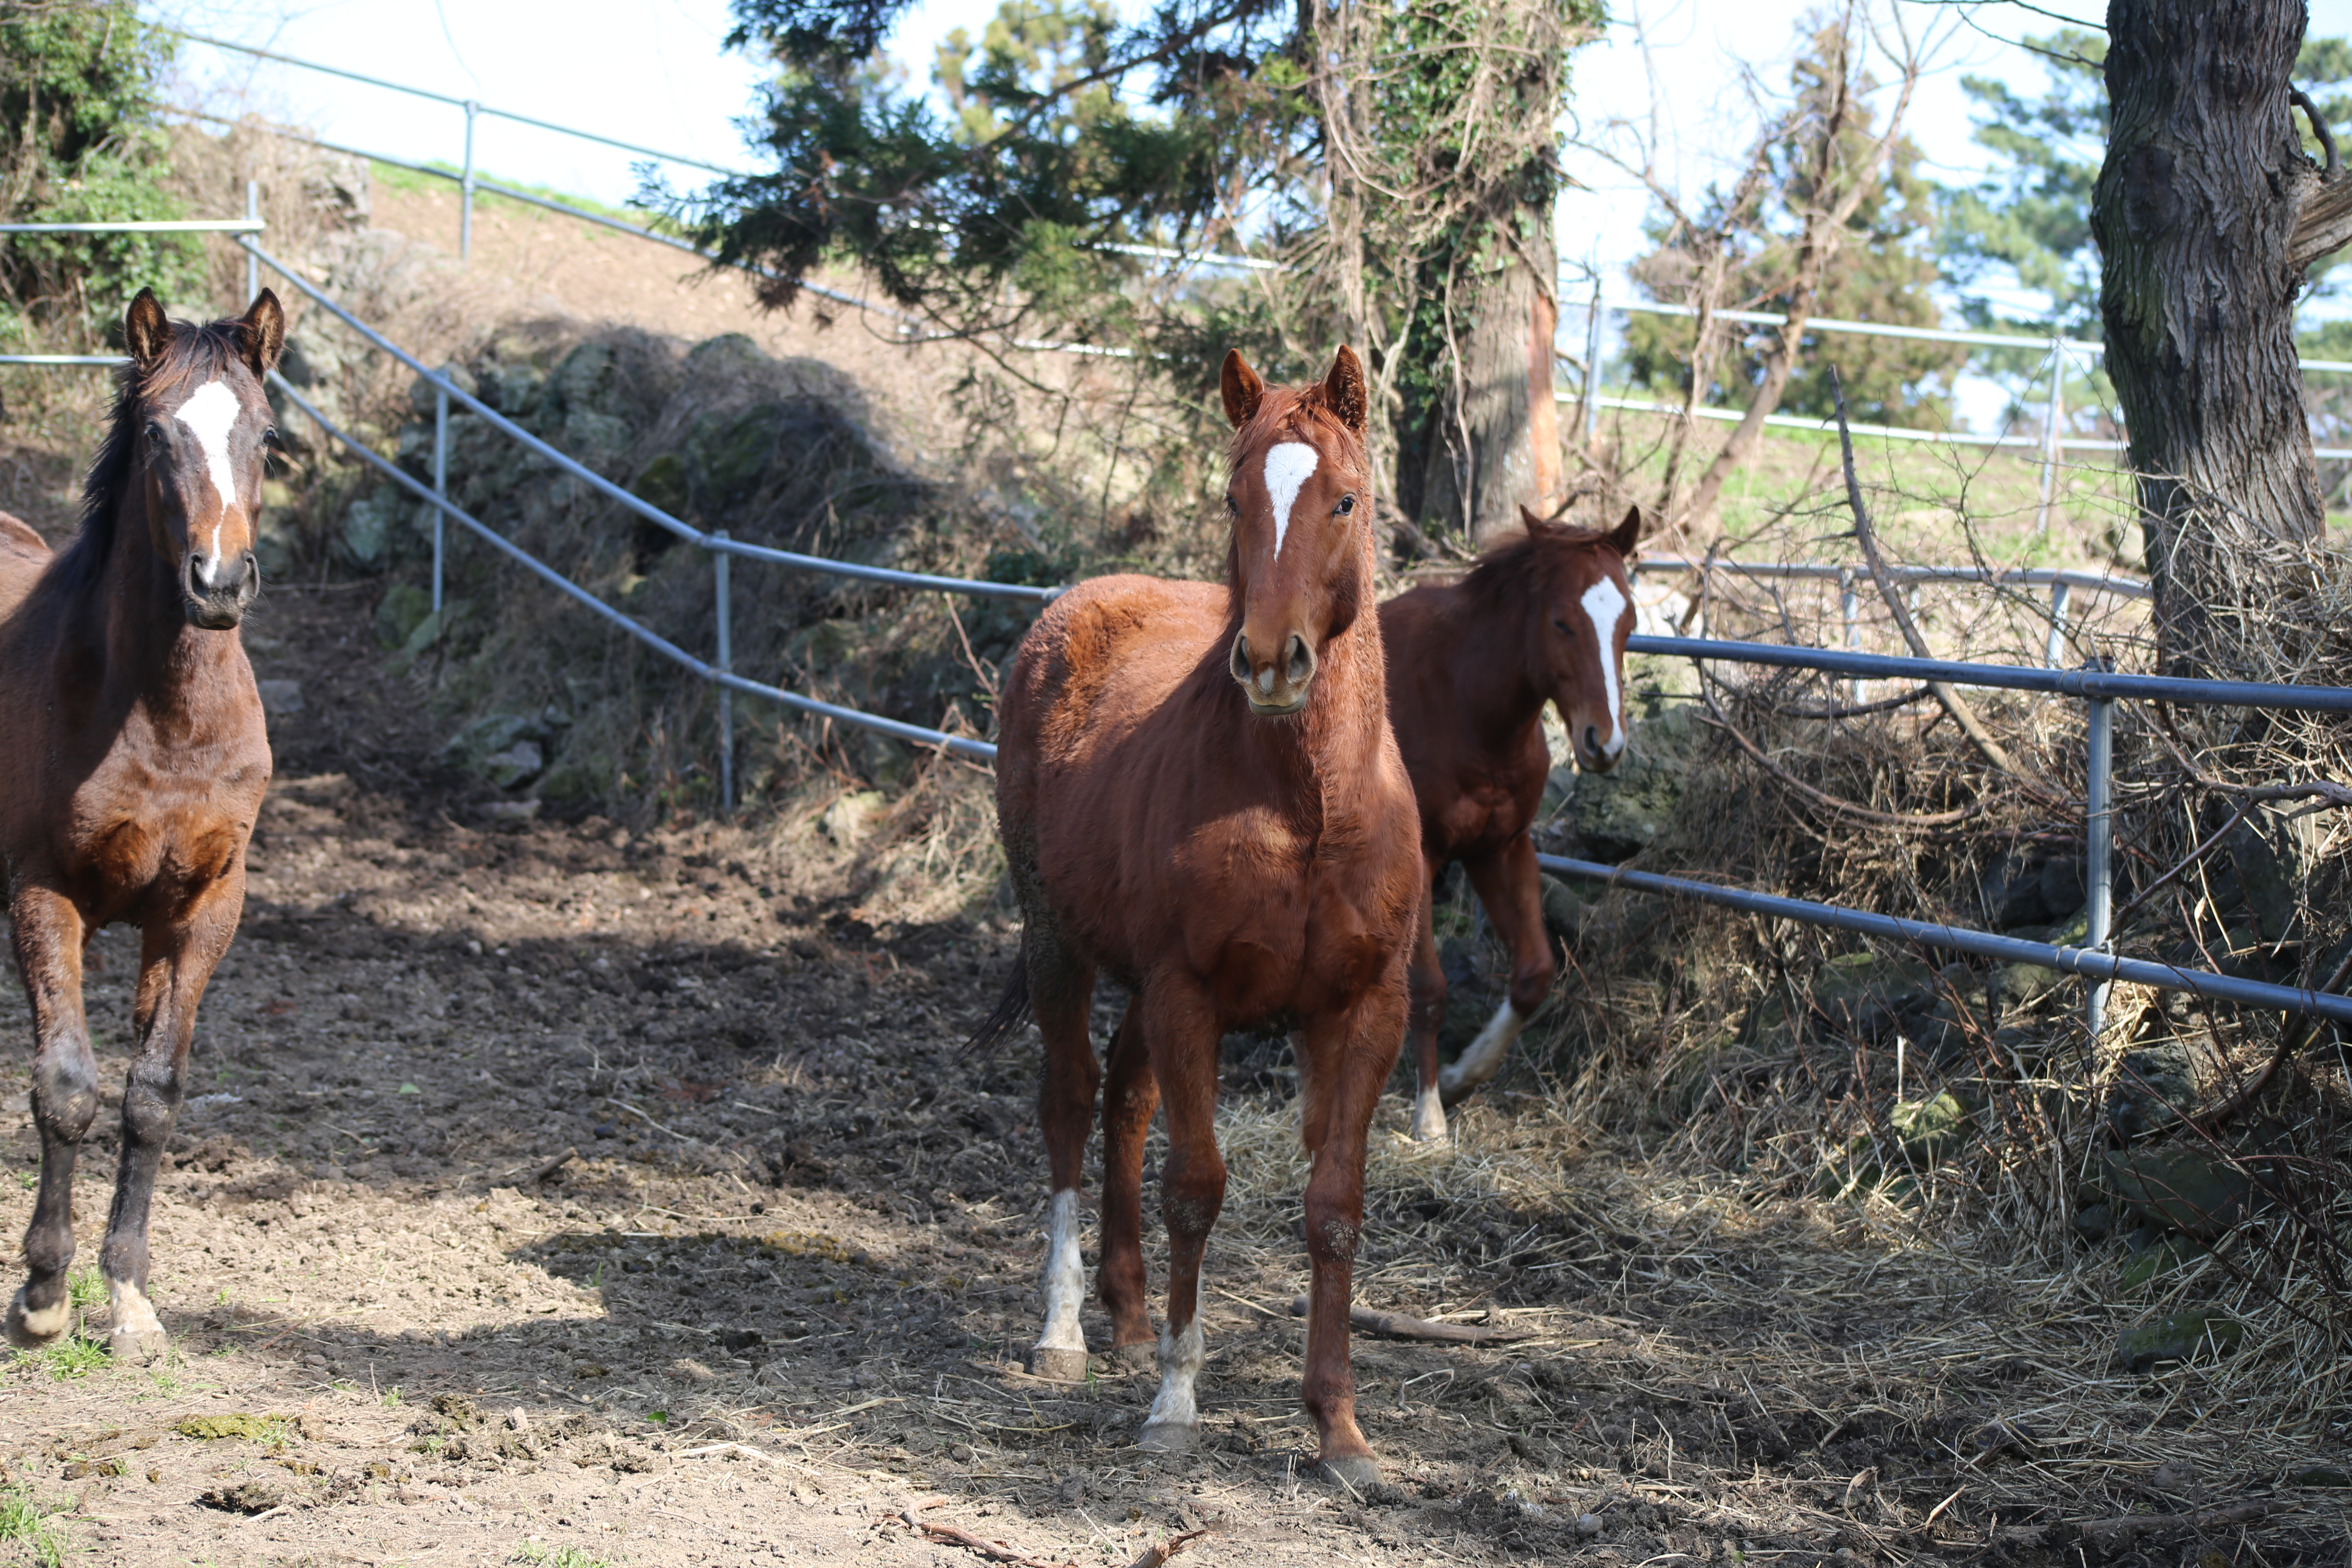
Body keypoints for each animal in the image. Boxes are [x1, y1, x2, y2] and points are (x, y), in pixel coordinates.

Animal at [1, 285, 281, 1363]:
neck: (166, 719)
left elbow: (152, 1095)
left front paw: (127, 1297)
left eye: (265, 432)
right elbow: (66, 1087)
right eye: (159, 432)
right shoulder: (43, 892)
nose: (219, 581)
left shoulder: (205, 908)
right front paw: (42, 1292)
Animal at [969, 350, 1421, 1495]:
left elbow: (1335, 1206)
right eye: (1233, 497)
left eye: (1344, 499)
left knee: (1126, 1100)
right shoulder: (1190, 993)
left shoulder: (1366, 1008)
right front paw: (1176, 1404)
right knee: (1071, 1102)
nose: (1269, 662)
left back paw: (1127, 1317)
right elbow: (1197, 1188)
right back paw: (1065, 1333)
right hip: (1059, 943)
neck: (1308, 803)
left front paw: (1340, 1430)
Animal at [1373, 510, 1637, 1133]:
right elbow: (1429, 988)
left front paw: (1461, 1078)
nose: (1605, 742)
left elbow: (1535, 974)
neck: (1466, 705)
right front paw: (1429, 1116)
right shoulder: (1423, 858)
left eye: (1629, 623)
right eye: (1562, 623)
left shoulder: (1501, 849)